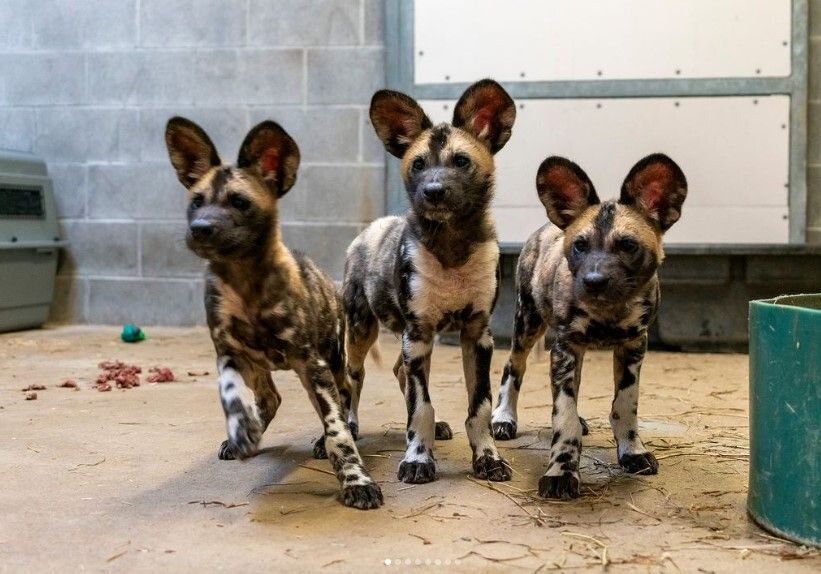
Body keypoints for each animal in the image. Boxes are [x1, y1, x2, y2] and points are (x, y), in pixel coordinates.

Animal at [167, 118, 388, 512]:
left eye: (239, 202)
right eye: (196, 202)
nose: (200, 229)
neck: (245, 283)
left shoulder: (313, 366)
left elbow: (337, 432)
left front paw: (356, 480)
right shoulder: (229, 355)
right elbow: (230, 396)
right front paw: (241, 430)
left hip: (331, 362)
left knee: (345, 395)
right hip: (261, 366)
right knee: (271, 398)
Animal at [344, 79, 516, 484]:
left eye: (461, 161)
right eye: (419, 165)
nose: (433, 191)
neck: (451, 245)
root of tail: (371, 228)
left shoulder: (476, 335)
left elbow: (479, 406)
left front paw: (488, 457)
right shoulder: (419, 334)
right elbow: (420, 407)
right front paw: (418, 459)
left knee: (398, 371)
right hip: (362, 331)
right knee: (354, 377)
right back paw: (349, 426)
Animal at [490, 155, 688, 502]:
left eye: (627, 246)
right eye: (580, 246)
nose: (594, 281)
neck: (608, 312)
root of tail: (546, 226)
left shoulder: (633, 347)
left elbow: (625, 405)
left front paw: (632, 451)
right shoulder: (565, 348)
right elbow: (563, 417)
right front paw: (561, 471)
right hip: (527, 324)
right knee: (513, 367)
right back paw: (503, 418)